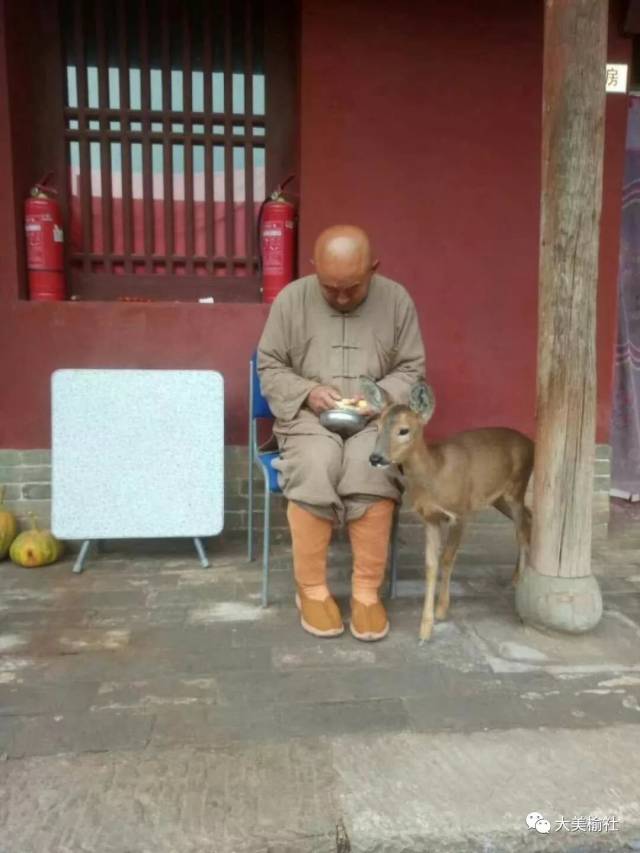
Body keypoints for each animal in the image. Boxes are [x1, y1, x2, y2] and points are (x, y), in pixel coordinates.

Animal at [360, 376, 536, 644]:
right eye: (377, 427)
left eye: (404, 430)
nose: (376, 458)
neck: (436, 474)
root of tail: (531, 443)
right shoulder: (430, 518)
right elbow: (430, 564)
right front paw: (425, 629)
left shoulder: (461, 512)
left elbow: (447, 558)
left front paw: (442, 610)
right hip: (498, 498)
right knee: (529, 517)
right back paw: (516, 577)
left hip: (516, 488)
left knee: (522, 530)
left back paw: (520, 583)